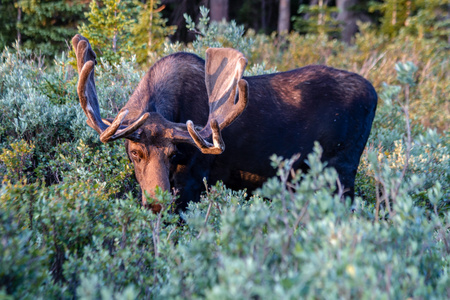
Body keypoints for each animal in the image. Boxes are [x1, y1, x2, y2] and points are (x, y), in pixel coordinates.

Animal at [73, 34, 376, 212]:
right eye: (135, 153)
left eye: (174, 154)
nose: (158, 203)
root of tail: (374, 94)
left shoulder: (194, 182)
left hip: (342, 170)